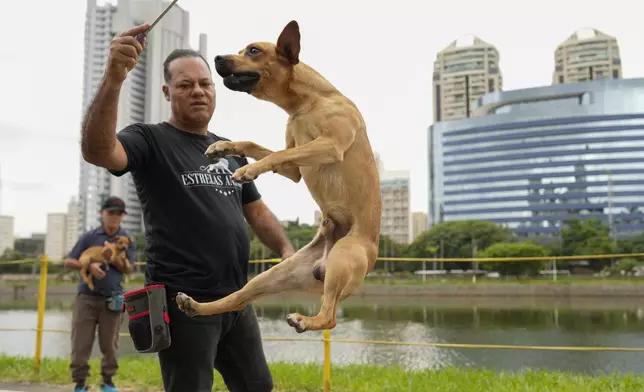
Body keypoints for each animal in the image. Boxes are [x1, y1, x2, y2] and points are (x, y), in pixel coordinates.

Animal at [175, 20, 382, 334]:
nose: (218, 58)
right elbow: (259, 147)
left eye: (253, 50)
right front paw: (223, 147)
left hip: (344, 257)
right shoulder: (293, 168)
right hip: (275, 275)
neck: (306, 103)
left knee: (330, 317)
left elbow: (277, 155)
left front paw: (247, 170)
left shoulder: (330, 145)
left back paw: (305, 319)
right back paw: (197, 306)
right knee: (236, 299)